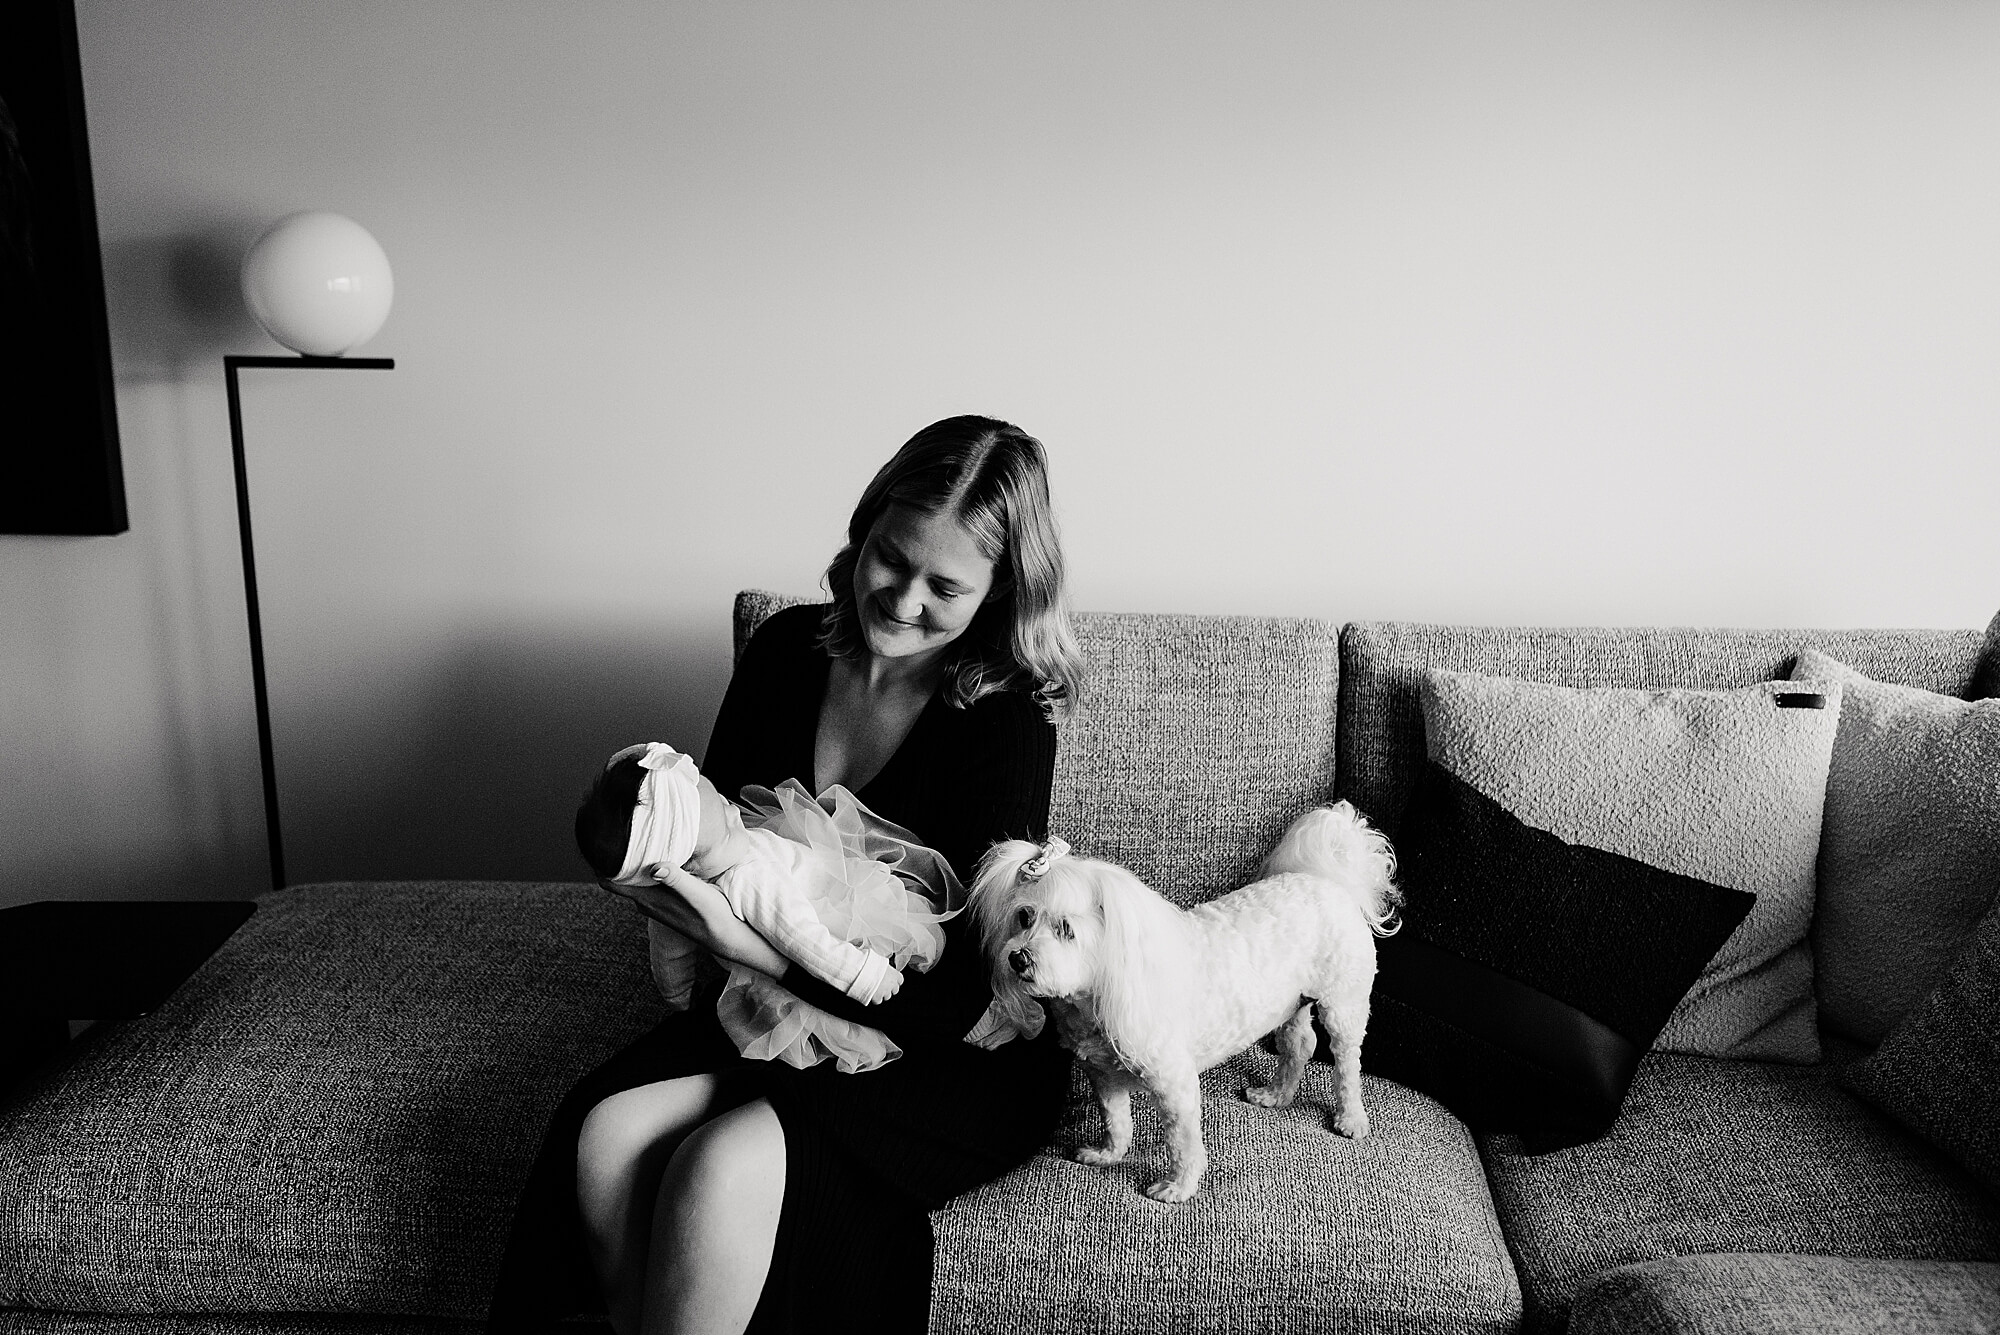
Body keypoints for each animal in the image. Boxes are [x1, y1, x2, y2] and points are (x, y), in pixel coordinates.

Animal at [964, 807, 1400, 1207]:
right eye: (1024, 917)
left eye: (1066, 930)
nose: (1018, 958)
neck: (1099, 993)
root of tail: (1327, 881)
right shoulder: (1101, 1074)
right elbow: (1115, 1120)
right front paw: (1107, 1154)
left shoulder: (1174, 1083)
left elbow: (1182, 1141)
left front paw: (1177, 1187)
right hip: (1291, 1002)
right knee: (1300, 1044)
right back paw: (1277, 1094)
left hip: (1343, 1003)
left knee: (1346, 1062)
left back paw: (1351, 1118)